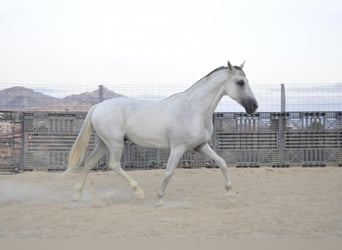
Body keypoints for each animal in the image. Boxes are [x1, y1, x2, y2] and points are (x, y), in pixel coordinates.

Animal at [65, 61, 258, 204]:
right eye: (240, 82)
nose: (254, 106)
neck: (193, 109)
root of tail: (98, 106)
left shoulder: (201, 146)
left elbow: (222, 163)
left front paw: (230, 194)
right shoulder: (178, 148)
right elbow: (169, 172)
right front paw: (159, 199)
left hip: (104, 144)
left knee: (89, 162)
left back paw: (76, 196)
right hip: (115, 143)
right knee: (114, 165)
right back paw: (139, 193)